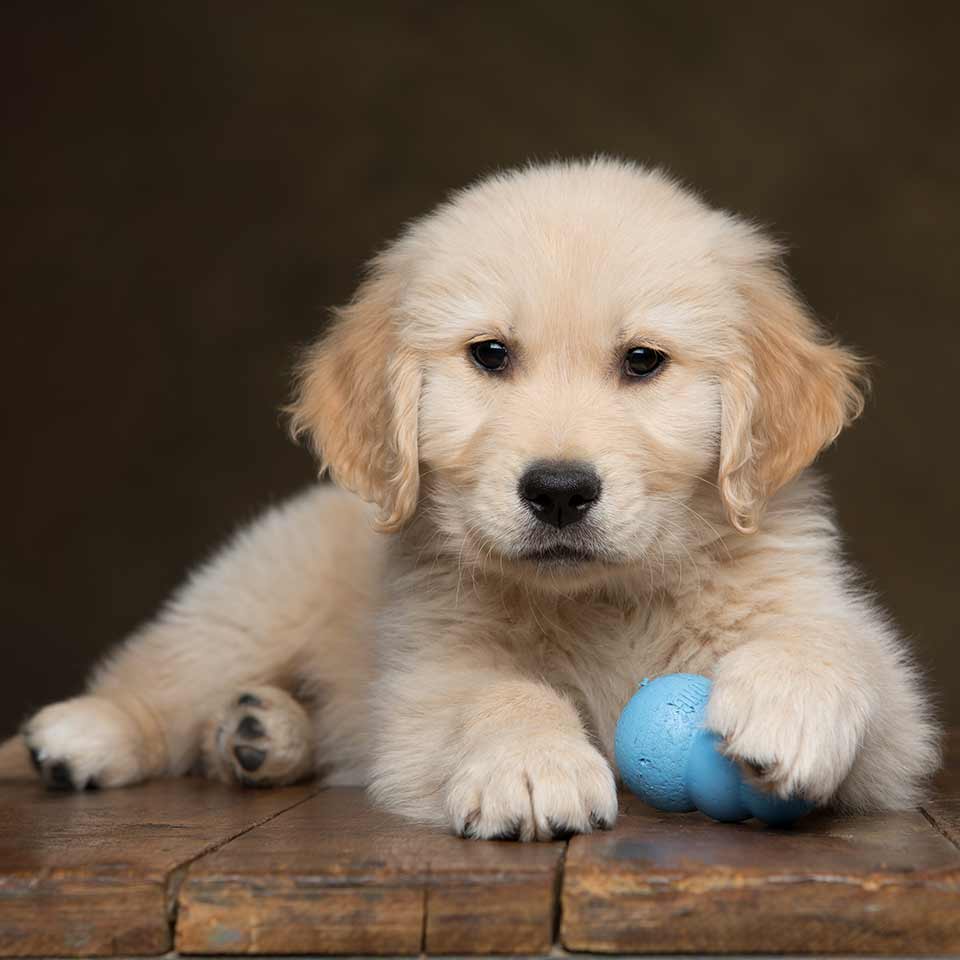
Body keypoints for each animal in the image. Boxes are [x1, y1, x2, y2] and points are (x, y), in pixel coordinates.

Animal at [20, 159, 936, 840]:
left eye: (643, 361)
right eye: (489, 354)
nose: (559, 491)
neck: (603, 602)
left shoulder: (896, 734)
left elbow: (841, 652)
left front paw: (791, 701)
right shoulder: (422, 684)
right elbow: (494, 689)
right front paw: (532, 765)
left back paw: (258, 734)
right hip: (250, 602)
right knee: (162, 673)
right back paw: (92, 734)